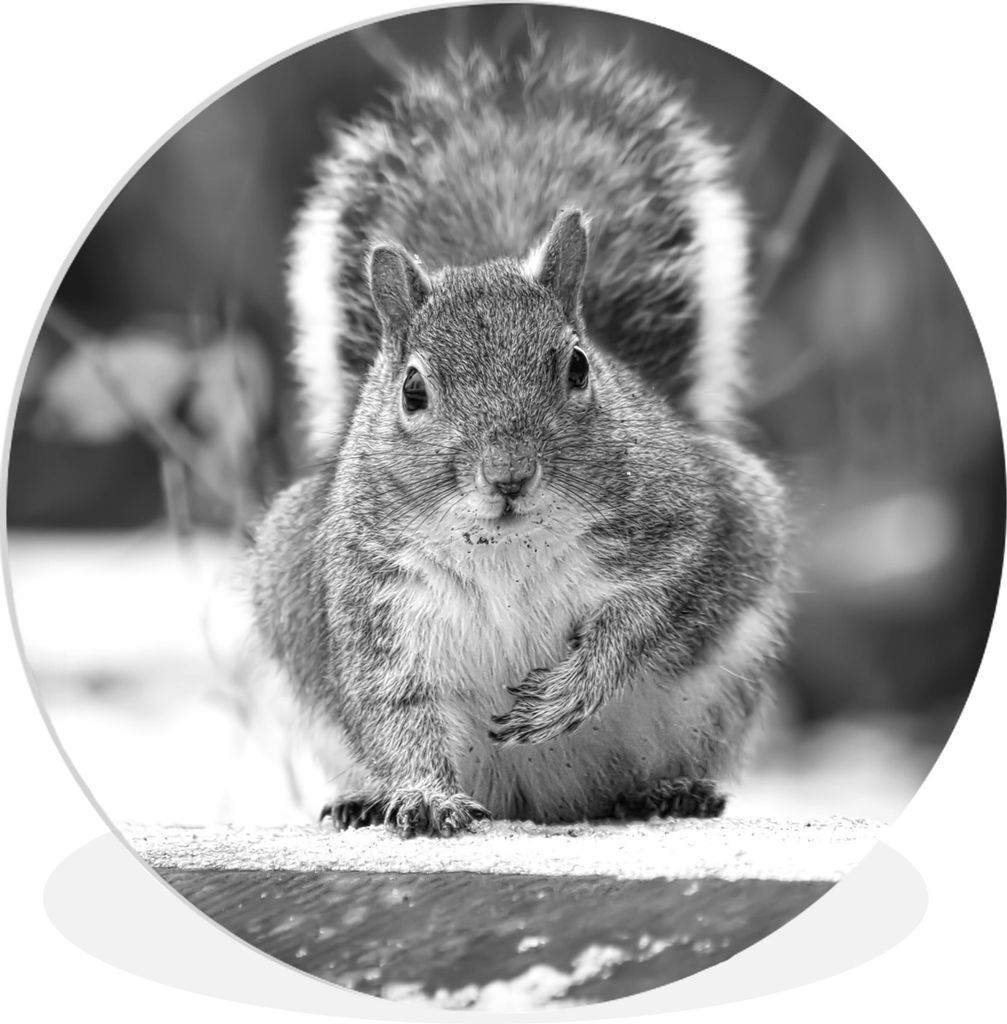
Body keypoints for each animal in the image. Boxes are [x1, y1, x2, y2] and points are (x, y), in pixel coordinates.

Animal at [250, 38, 791, 837]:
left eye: (577, 366)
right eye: (412, 390)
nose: (508, 476)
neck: (505, 545)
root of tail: (539, 804)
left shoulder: (683, 524)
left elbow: (648, 615)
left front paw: (571, 690)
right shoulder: (373, 600)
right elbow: (393, 708)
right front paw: (424, 795)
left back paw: (668, 790)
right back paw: (365, 800)